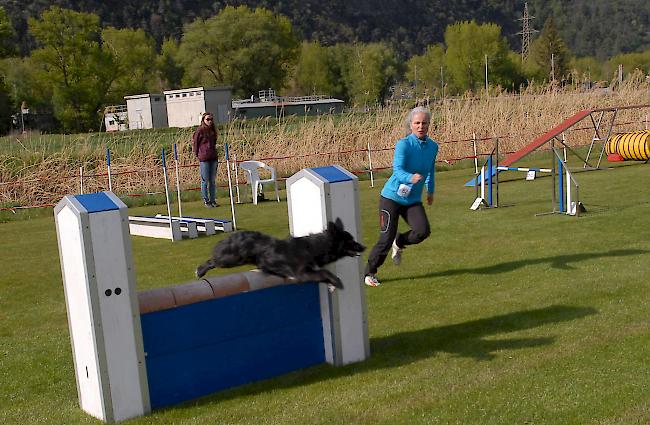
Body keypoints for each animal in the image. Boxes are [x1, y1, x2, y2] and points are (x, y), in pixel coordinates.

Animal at [192, 219, 364, 288]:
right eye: (350, 241)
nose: (364, 247)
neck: (314, 248)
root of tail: (233, 235)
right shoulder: (301, 273)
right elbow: (324, 272)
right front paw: (337, 282)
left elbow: (322, 272)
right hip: (230, 259)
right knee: (213, 260)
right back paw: (199, 271)